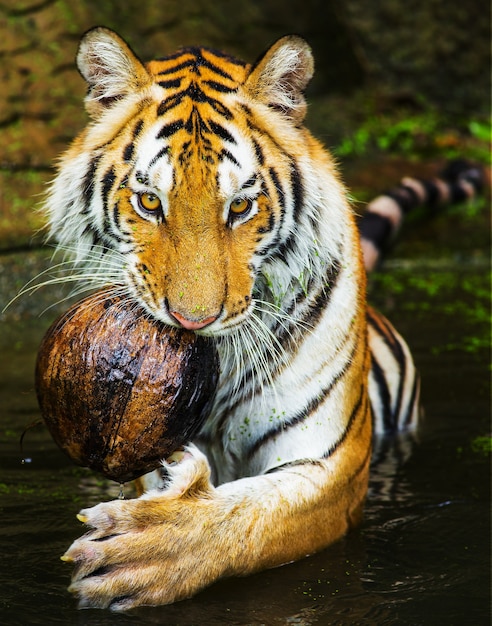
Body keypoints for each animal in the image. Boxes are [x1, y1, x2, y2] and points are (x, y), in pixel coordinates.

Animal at [40, 26, 478, 608]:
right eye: (150, 202)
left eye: (241, 207)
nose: (193, 321)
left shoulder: (331, 462)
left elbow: (255, 516)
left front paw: (142, 552)